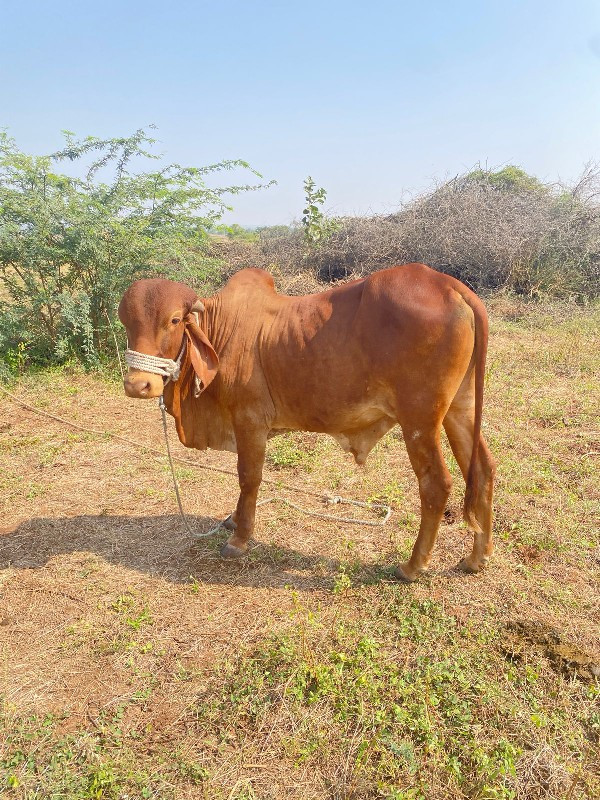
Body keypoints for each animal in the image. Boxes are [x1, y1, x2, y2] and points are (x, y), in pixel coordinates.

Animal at [118, 262, 496, 580]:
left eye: (174, 320)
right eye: (125, 321)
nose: (138, 385)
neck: (221, 331)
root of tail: (449, 285)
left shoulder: (250, 420)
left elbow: (249, 478)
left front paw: (240, 539)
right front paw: (233, 522)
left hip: (419, 419)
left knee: (436, 484)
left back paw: (412, 566)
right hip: (459, 409)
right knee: (483, 469)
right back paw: (476, 558)